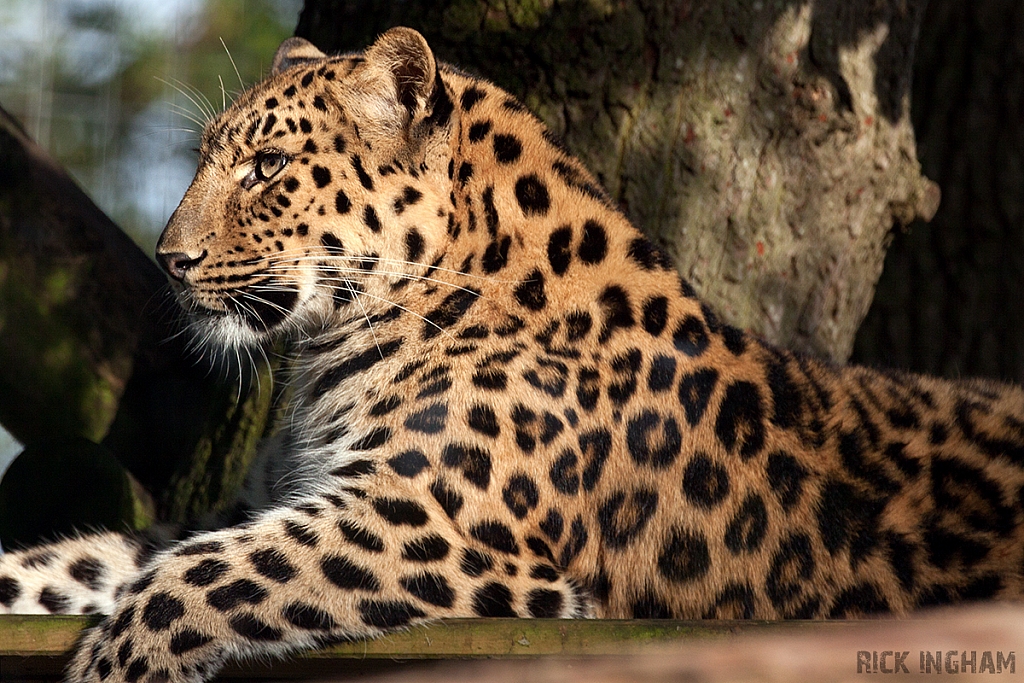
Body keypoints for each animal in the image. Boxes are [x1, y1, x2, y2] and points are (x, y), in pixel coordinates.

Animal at [2, 25, 1024, 683]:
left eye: (268, 169)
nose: (169, 260)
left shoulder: (424, 522)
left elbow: (200, 577)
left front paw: (112, 664)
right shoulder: (258, 504)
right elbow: (100, 560)